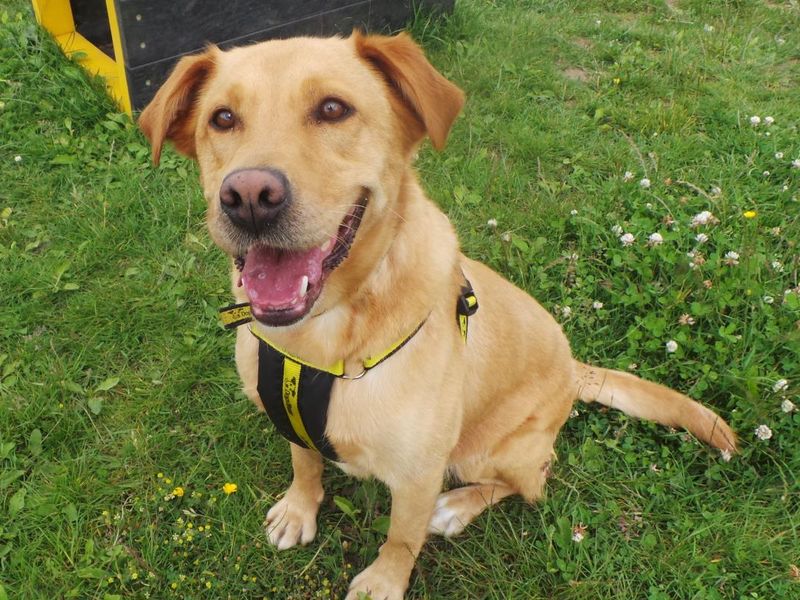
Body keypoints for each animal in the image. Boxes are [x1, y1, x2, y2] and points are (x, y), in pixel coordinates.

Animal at [139, 31, 736, 600]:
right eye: (222, 118)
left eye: (332, 109)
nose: (247, 197)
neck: (322, 341)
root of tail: (574, 370)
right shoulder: (289, 419)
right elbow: (304, 461)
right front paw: (299, 509)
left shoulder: (419, 473)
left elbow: (402, 537)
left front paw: (384, 581)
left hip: (492, 451)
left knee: (530, 483)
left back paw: (457, 507)